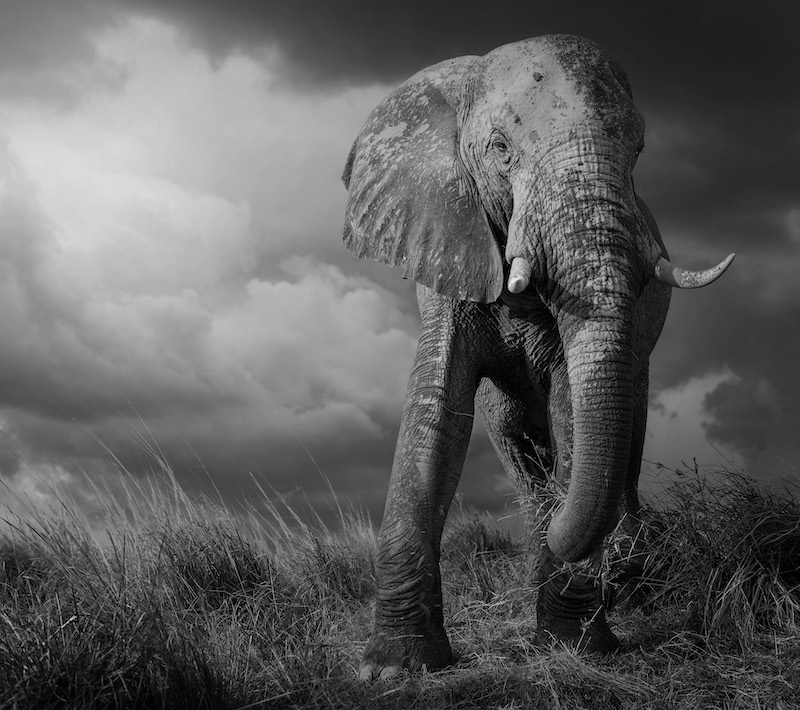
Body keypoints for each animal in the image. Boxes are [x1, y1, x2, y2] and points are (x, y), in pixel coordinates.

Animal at [341, 34, 734, 681]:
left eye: (639, 150)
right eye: (501, 149)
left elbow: (573, 407)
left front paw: (578, 643)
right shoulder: (450, 243)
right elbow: (436, 412)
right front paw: (395, 669)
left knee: (624, 436)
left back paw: (625, 576)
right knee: (515, 438)